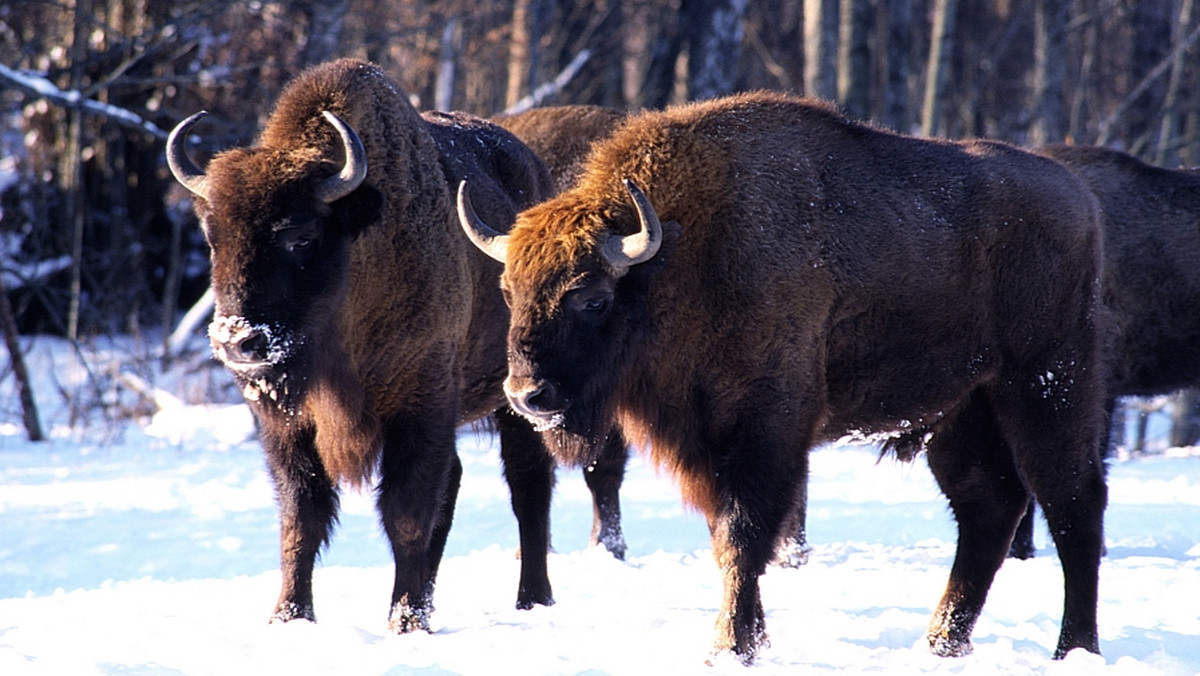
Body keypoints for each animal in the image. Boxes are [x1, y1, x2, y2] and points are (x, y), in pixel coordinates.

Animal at [164, 59, 566, 633]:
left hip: (519, 399)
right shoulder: (288, 426)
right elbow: (302, 518)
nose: (237, 340)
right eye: (213, 238)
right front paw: (290, 618)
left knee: (528, 487)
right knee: (459, 485)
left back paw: (532, 599)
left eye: (301, 237)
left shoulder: (421, 407)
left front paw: (407, 623)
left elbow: (406, 515)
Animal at [456, 92, 1104, 662]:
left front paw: (730, 646)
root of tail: (1079, 200)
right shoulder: (712, 443)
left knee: (1073, 506)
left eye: (591, 298)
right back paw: (942, 643)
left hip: (1047, 391)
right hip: (960, 412)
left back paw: (1072, 648)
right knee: (989, 508)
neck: (685, 256)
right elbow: (728, 537)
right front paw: (752, 638)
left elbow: (743, 537)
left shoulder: (766, 430)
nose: (527, 396)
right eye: (509, 290)